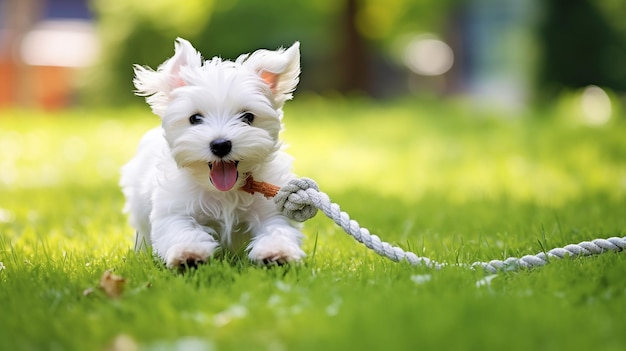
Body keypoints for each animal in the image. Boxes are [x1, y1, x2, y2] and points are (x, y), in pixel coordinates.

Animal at [119, 37, 304, 270]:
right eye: (195, 118)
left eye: (248, 117)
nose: (221, 145)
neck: (224, 192)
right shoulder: (175, 209)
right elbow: (182, 231)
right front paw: (188, 253)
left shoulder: (270, 211)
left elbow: (276, 229)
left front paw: (277, 252)